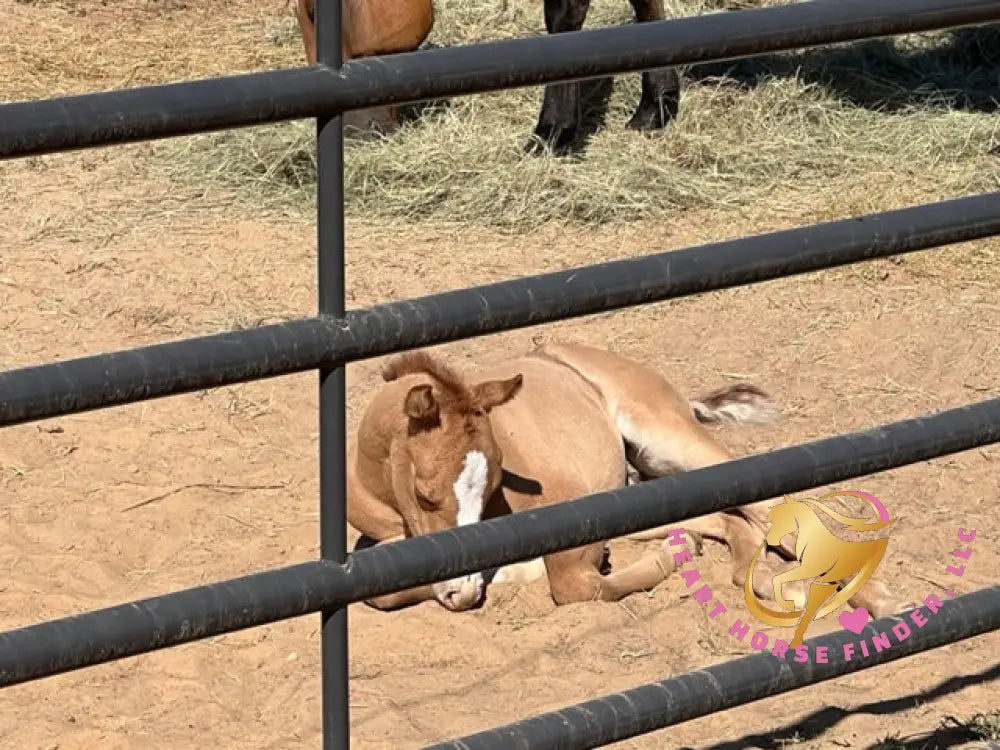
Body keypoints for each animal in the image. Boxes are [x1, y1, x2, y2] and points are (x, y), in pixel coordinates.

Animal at [345, 342, 905, 617]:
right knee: (730, 518)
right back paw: (755, 576)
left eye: (491, 490)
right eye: (424, 495)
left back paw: (879, 600)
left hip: (666, 440)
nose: (460, 593)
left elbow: (577, 585)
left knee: (772, 507)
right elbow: (383, 594)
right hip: (636, 489)